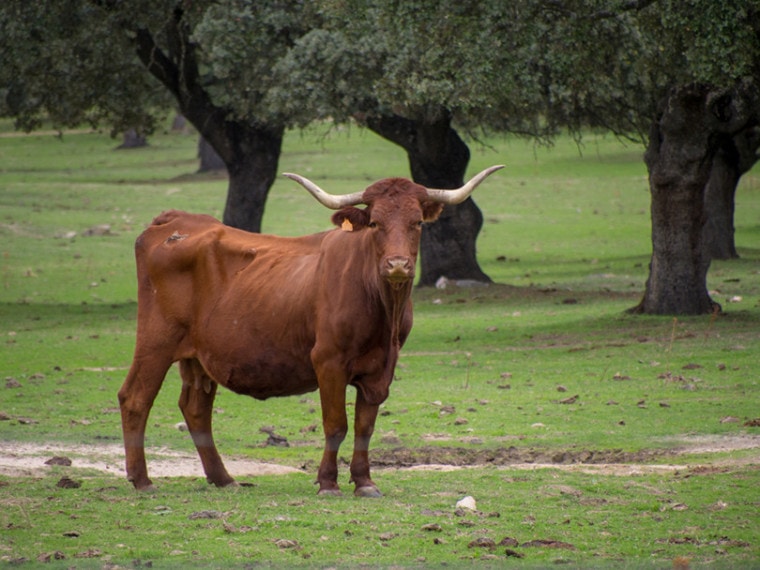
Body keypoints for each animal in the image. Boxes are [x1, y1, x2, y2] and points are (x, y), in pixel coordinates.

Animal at [116, 163, 502, 492]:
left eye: (417, 222)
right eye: (375, 223)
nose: (397, 265)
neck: (383, 313)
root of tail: (175, 220)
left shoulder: (381, 369)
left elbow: (365, 427)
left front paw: (365, 482)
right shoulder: (328, 361)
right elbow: (336, 424)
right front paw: (328, 482)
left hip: (198, 355)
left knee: (196, 408)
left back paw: (223, 479)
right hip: (156, 340)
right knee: (135, 398)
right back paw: (142, 481)